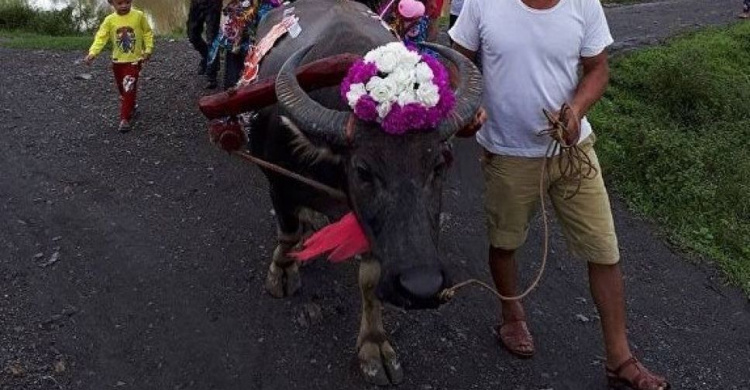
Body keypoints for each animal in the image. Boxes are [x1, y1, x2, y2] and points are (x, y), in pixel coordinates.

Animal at [200, 0, 482, 384]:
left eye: (438, 164)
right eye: (363, 170)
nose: (421, 285)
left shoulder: (373, 229)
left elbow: (370, 279)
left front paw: (374, 346)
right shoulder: (278, 184)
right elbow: (287, 232)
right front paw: (283, 271)